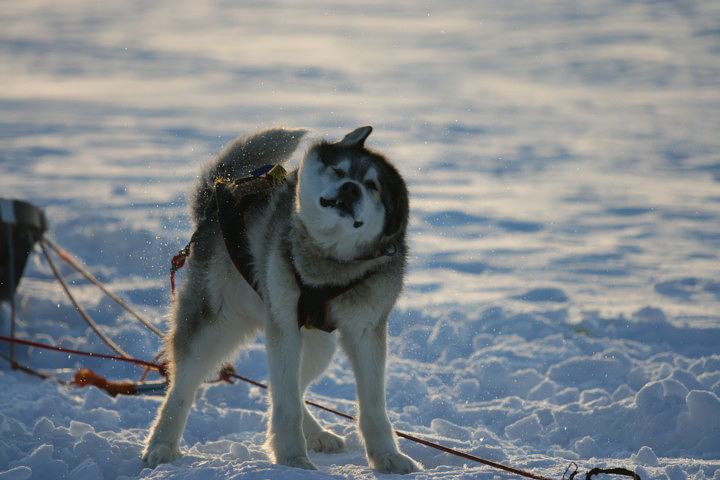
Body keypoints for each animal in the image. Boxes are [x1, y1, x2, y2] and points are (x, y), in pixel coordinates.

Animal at [141, 124, 420, 472]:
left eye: (372, 186)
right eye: (339, 171)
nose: (351, 189)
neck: (329, 263)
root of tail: (217, 200)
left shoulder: (367, 331)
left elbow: (372, 406)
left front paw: (387, 457)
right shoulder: (285, 325)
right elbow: (286, 403)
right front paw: (292, 458)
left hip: (316, 345)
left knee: (287, 386)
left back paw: (316, 434)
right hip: (216, 324)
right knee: (184, 387)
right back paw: (161, 444)